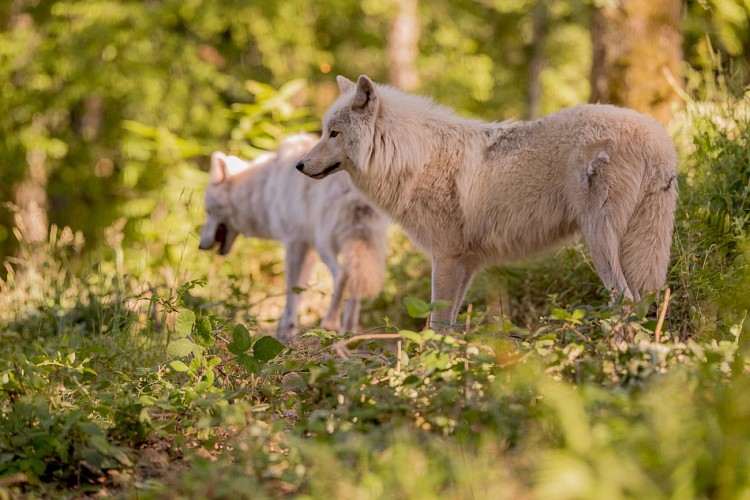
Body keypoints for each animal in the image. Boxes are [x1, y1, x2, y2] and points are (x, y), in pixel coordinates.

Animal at [199, 133, 388, 343]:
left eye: (208, 210)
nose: (200, 245)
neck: (263, 188)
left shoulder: (294, 243)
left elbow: (291, 290)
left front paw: (286, 332)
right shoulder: (307, 248)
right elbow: (299, 291)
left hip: (325, 245)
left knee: (341, 275)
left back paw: (330, 323)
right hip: (361, 245)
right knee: (356, 281)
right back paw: (349, 332)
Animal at [296, 75, 677, 329]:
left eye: (333, 133)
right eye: (324, 131)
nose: (299, 165)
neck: (411, 158)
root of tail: (657, 138)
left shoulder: (445, 257)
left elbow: (436, 324)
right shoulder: (466, 263)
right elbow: (449, 325)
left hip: (599, 239)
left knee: (624, 300)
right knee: (645, 299)